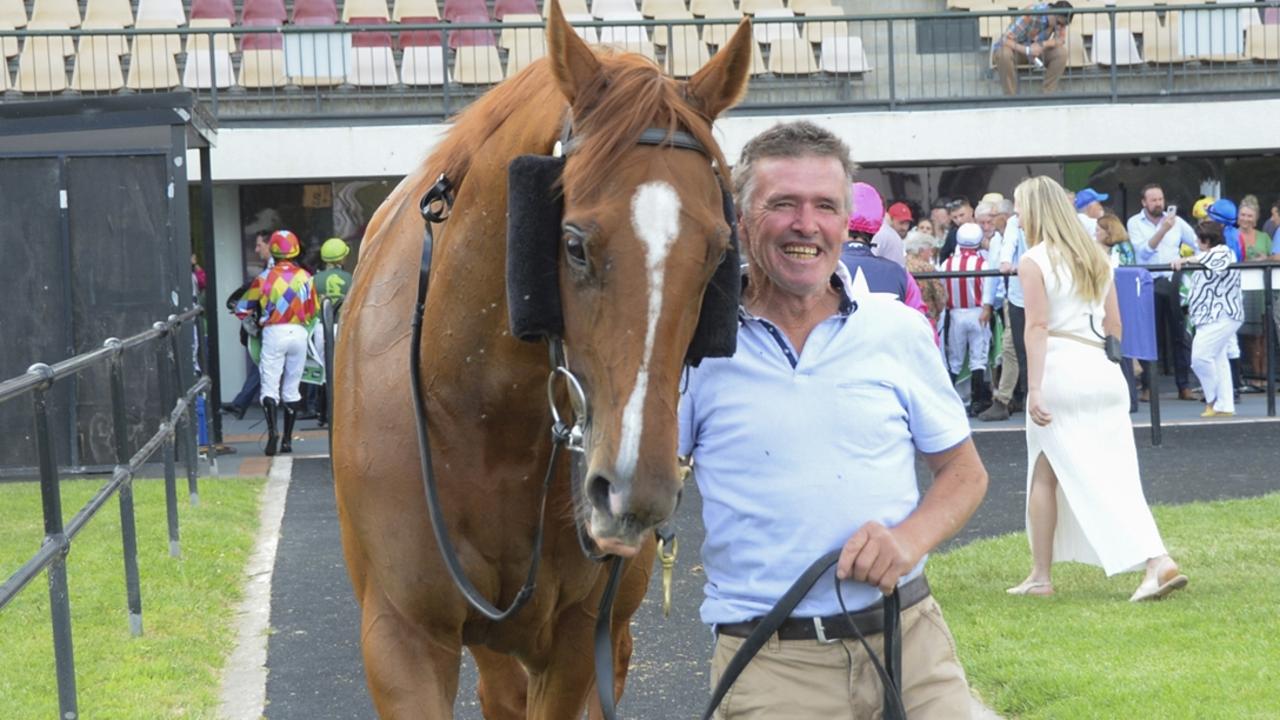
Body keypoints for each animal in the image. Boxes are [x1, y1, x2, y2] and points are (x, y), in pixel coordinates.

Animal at [332, 4, 757, 712]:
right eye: (574, 244)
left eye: (720, 253)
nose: (633, 490)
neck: (482, 412)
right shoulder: (400, 635)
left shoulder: (577, 636)